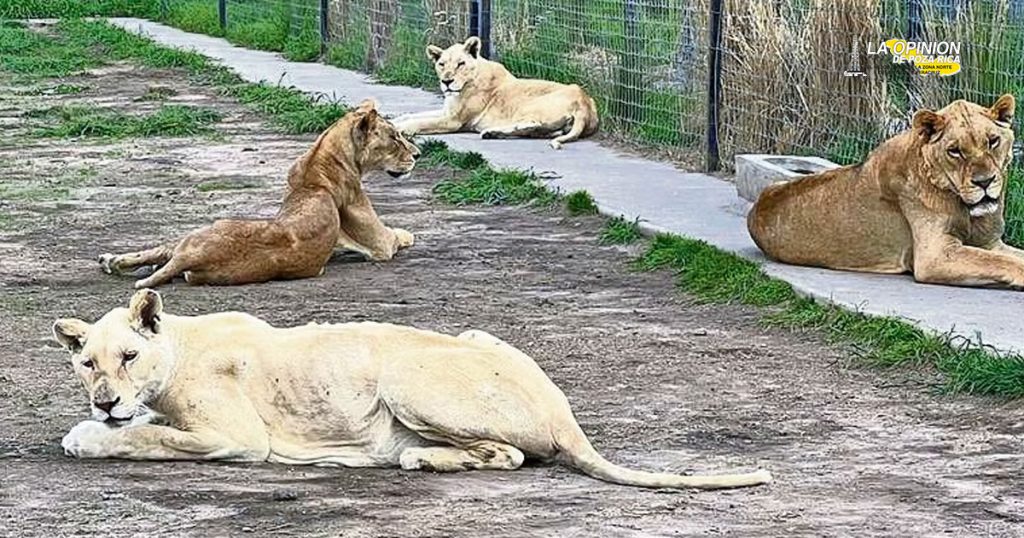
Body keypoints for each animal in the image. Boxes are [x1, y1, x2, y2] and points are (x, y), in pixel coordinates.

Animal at [53, 289, 772, 490]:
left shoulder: (237, 438)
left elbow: (145, 439)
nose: (104, 399)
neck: (176, 346)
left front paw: (88, 434)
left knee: (509, 455)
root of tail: (565, 414)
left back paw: (417, 458)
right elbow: (145, 430)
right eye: (86, 362)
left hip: (401, 375)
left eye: (128, 356)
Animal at [98, 100, 418, 289]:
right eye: (394, 137)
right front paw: (408, 234)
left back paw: (113, 261)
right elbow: (400, 234)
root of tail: (192, 256)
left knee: (163, 251)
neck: (318, 163)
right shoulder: (379, 244)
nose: (418, 154)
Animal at [392, 36, 599, 150]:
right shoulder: (447, 111)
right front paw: (392, 121)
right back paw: (492, 133)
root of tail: (585, 103)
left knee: (534, 124)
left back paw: (490, 131)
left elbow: (420, 122)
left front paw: (401, 129)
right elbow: (411, 115)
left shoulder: (453, 120)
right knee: (547, 131)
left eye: (461, 64)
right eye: (441, 64)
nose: (447, 82)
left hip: (531, 106)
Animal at [748, 94, 1024, 289]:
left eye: (993, 141)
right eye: (954, 151)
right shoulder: (934, 255)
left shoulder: (990, 243)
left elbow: (1009, 256)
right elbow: (1001, 261)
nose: (985, 182)